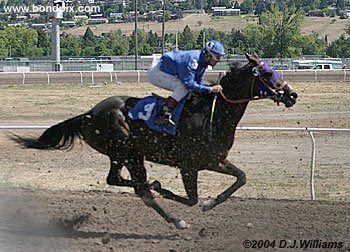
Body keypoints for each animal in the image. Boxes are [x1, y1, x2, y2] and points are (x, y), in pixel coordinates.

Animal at [13, 54, 298, 229]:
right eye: (268, 73)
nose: (292, 95)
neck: (213, 113)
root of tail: (89, 114)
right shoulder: (188, 165)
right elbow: (191, 199)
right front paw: (173, 193)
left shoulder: (214, 160)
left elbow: (241, 178)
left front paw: (210, 203)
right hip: (125, 151)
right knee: (134, 186)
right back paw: (161, 197)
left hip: (127, 154)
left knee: (125, 184)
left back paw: (158, 195)